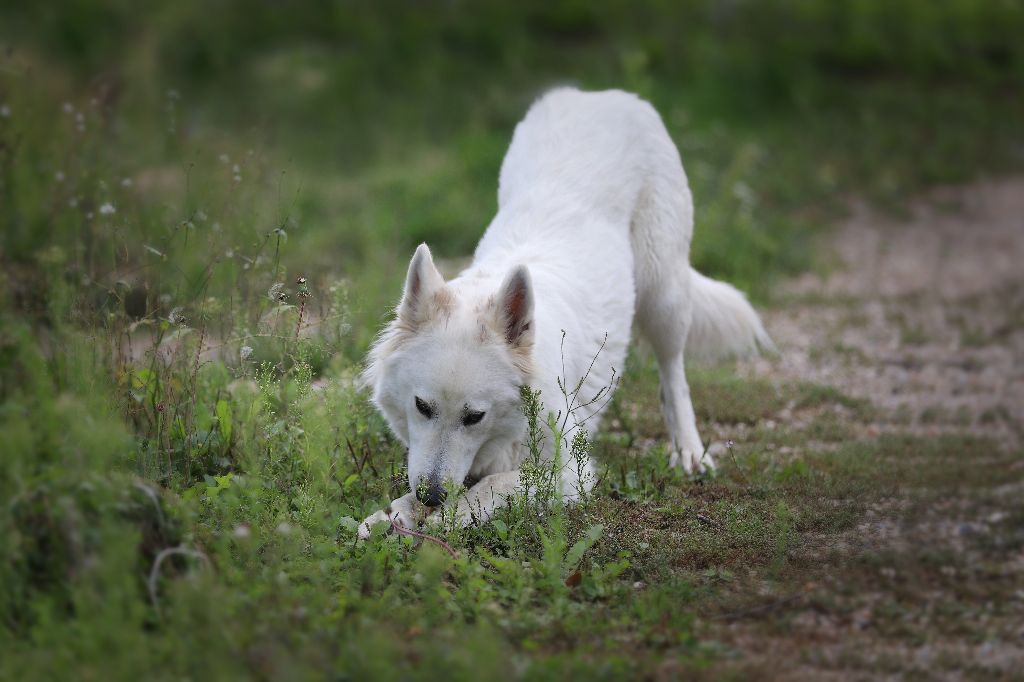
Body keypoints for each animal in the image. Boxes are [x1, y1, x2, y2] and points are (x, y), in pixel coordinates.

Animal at [358, 87, 770, 536]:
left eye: (475, 417)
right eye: (422, 407)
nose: (432, 496)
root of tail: (600, 94)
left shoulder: (568, 473)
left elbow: (492, 486)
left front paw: (443, 516)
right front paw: (390, 516)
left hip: (663, 292)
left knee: (673, 375)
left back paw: (689, 451)